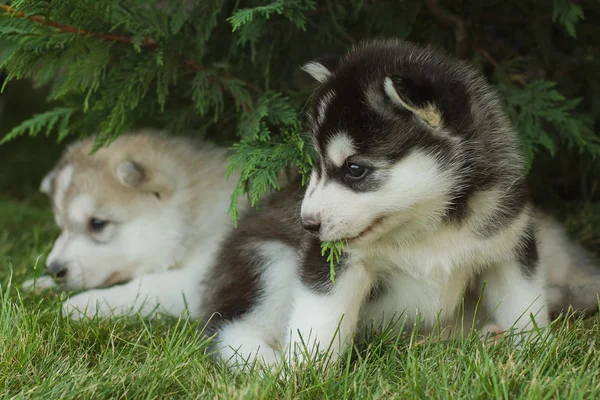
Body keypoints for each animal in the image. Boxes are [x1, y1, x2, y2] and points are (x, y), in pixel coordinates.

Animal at [203, 39, 600, 368]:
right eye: (317, 163)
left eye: (355, 169)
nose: (308, 224)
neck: (429, 226)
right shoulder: (332, 263)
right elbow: (319, 323)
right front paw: (303, 374)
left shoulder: (508, 247)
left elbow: (523, 304)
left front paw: (533, 351)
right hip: (271, 261)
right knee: (232, 330)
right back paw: (267, 364)